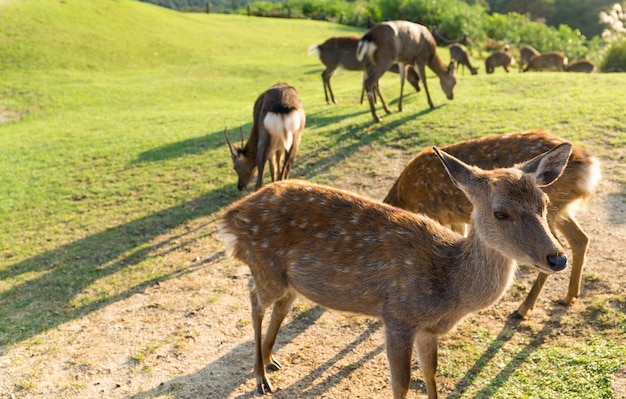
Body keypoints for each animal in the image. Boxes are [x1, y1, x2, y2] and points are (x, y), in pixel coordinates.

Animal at [218, 144, 572, 399]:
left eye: (543, 203)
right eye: (500, 213)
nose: (558, 258)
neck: (450, 287)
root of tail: (230, 218)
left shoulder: (428, 330)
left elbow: (430, 373)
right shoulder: (398, 316)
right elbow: (401, 383)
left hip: (290, 281)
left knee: (279, 306)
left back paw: (270, 360)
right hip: (265, 266)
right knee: (254, 300)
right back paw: (260, 377)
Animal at [380, 131, 600, 318]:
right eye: (501, 213)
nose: (559, 261)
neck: (405, 196)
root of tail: (588, 164)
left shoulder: (434, 213)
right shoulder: (455, 219)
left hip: (554, 211)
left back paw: (522, 309)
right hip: (561, 210)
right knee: (580, 239)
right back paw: (569, 297)